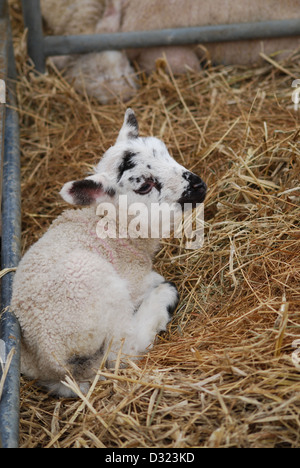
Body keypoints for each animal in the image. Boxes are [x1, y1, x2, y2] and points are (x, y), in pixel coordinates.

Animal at [11, 108, 206, 396]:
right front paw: (161, 288)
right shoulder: (133, 281)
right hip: (95, 283)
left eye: (165, 152)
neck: (116, 226)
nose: (199, 186)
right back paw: (164, 297)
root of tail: (53, 360)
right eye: (144, 186)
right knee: (121, 349)